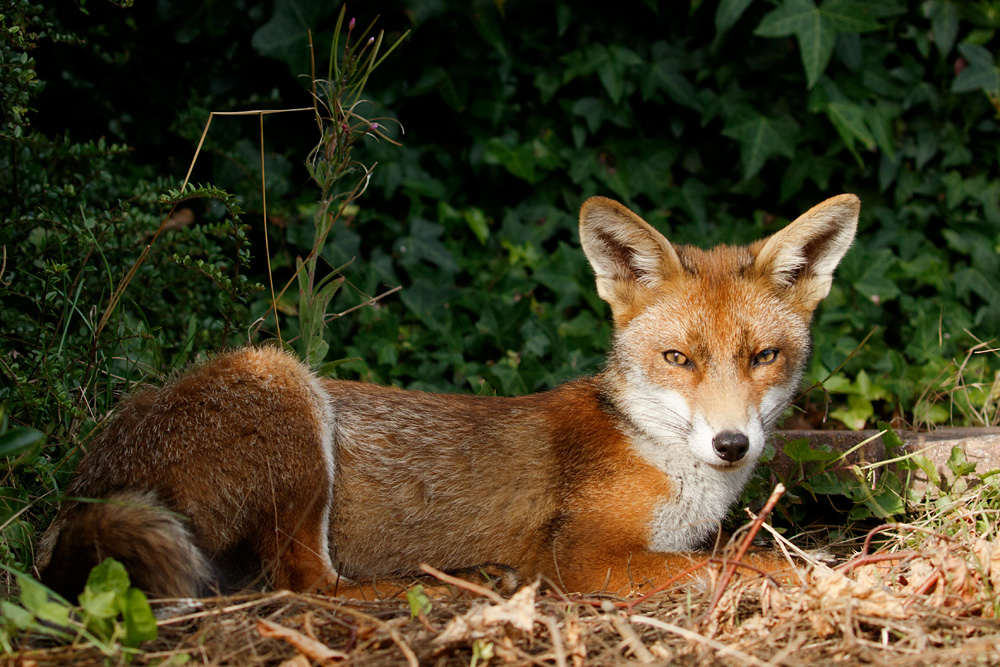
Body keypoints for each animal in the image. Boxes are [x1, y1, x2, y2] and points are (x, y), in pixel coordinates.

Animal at [35, 193, 859, 600]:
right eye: (678, 359)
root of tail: (86, 486)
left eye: (763, 357)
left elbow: (739, 556)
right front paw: (843, 581)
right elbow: (750, 567)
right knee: (306, 587)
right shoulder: (587, 558)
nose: (732, 444)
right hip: (286, 387)